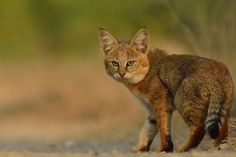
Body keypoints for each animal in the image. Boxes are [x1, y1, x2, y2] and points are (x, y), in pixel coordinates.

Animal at [98, 27, 234, 152]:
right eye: (115, 63)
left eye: (130, 63)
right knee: (223, 129)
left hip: (183, 101)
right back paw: (217, 146)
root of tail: (220, 70)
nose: (121, 74)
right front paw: (141, 148)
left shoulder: (160, 102)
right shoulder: (151, 109)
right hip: (223, 108)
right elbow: (148, 128)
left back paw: (183, 148)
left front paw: (164, 148)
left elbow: (163, 127)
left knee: (199, 129)